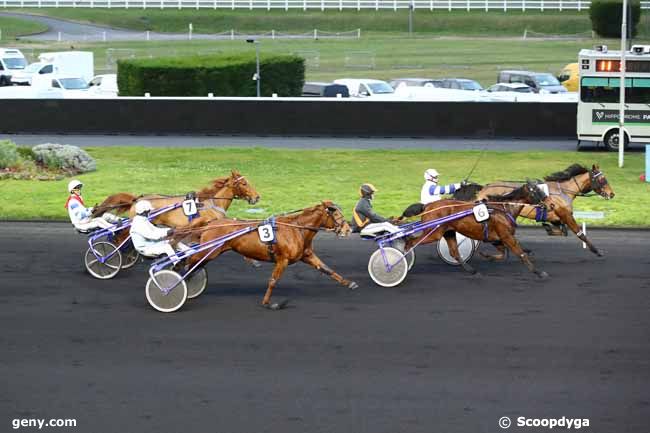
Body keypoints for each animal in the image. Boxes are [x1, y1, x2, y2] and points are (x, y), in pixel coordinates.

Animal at [177, 201, 356, 308]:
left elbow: (327, 269)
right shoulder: (282, 260)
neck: (297, 229)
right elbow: (273, 280)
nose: (348, 229)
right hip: (209, 251)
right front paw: (268, 302)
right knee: (190, 260)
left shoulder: (307, 256)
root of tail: (211, 222)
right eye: (336, 214)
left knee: (194, 265)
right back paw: (179, 274)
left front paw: (349, 283)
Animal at [402, 181, 548, 276]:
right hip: (434, 233)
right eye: (536, 191)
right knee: (411, 242)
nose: (547, 204)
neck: (503, 209)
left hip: (448, 232)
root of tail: (427, 206)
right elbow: (520, 253)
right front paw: (539, 272)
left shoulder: (496, 238)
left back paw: (472, 271)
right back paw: (404, 258)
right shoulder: (506, 236)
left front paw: (486, 255)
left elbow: (503, 254)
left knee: (454, 252)